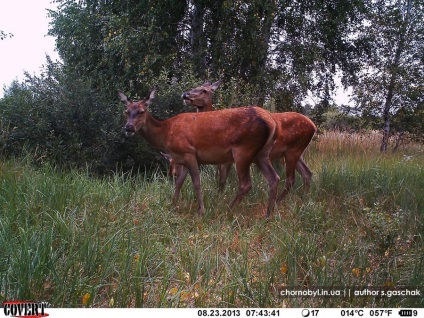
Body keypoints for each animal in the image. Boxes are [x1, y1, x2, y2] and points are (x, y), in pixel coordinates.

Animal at [117, 90, 280, 217]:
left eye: (141, 111)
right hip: (262, 154)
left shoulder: (188, 151)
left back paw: (227, 210)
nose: (128, 127)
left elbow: (196, 182)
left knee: (246, 184)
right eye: (126, 111)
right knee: (274, 178)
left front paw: (201, 211)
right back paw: (268, 214)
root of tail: (272, 122)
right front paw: (172, 205)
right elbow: (179, 183)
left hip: (243, 150)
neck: (166, 133)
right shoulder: (181, 158)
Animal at [177, 80, 316, 202]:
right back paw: (304, 198)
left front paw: (218, 198)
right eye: (196, 86)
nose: (185, 94)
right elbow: (219, 179)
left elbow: (222, 179)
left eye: (204, 90)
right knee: (307, 173)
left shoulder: (228, 159)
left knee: (291, 179)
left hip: (292, 150)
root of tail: (314, 126)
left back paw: (280, 201)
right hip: (297, 153)